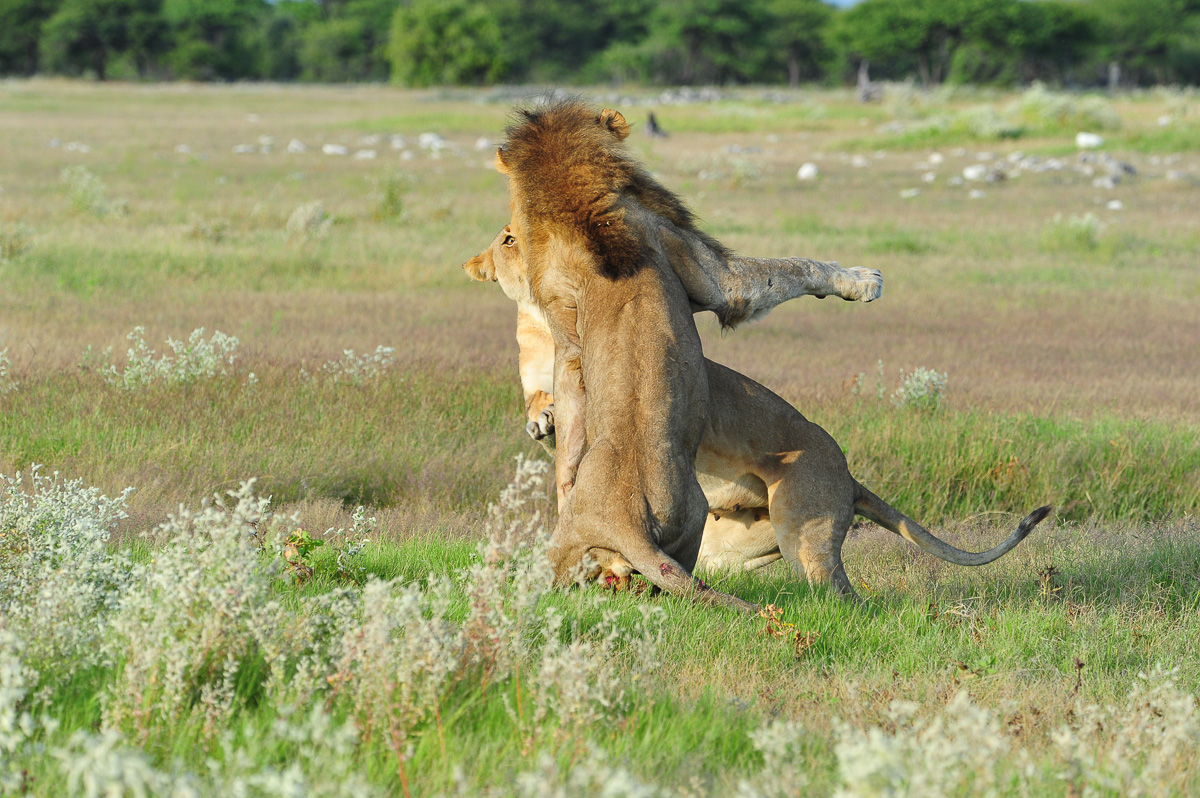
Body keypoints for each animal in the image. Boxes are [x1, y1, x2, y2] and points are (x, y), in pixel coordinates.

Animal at [464, 223, 1052, 600]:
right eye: (508, 238)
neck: (543, 323)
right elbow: (542, 408)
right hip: (731, 545)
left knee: (842, 595)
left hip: (803, 533)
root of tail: (849, 478)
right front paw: (541, 421)